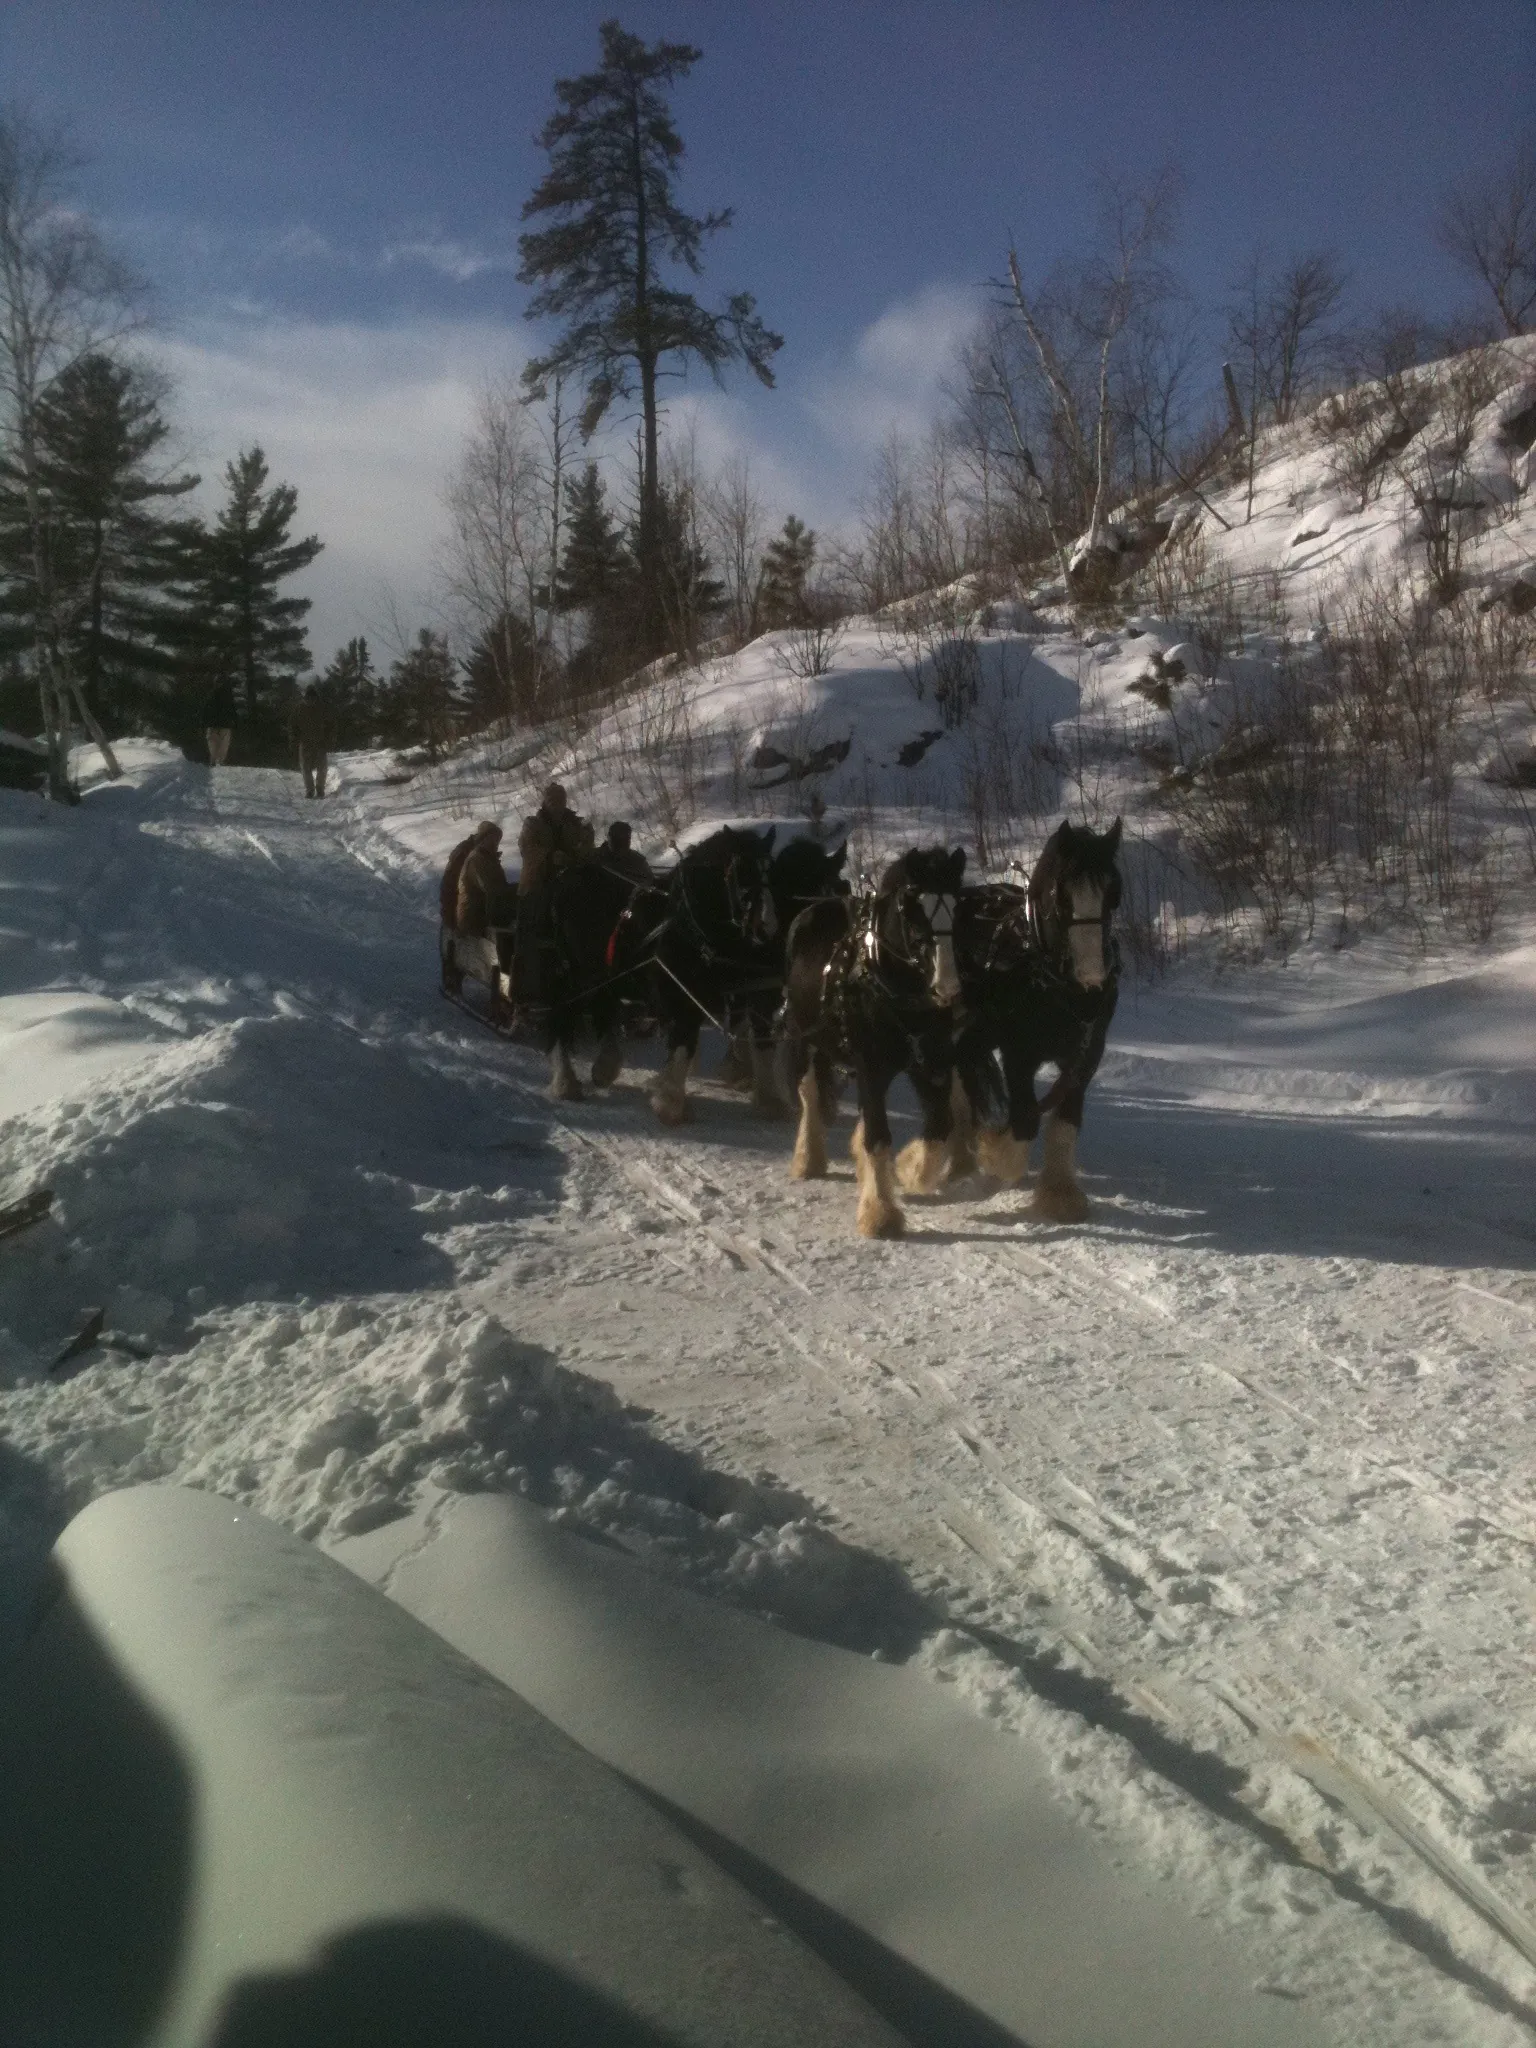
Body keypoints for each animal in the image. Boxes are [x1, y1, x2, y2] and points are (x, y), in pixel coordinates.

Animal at [648, 826, 783, 1125]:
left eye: (771, 871)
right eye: (741, 870)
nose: (766, 927)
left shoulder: (758, 987)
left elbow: (762, 1040)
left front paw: (769, 1100)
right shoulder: (682, 990)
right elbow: (683, 1041)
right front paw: (669, 1102)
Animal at [783, 845, 967, 1238]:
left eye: (956, 908)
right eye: (913, 917)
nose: (947, 989)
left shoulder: (930, 1063)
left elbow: (939, 1128)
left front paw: (909, 1170)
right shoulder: (870, 1065)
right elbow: (878, 1137)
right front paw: (880, 1214)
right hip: (804, 1037)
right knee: (809, 1093)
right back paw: (807, 1158)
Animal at [953, 817, 1123, 1221]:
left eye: (1114, 893)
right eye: (1062, 895)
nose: (1093, 981)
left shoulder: (1085, 1055)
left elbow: (1065, 1121)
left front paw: (1060, 1196)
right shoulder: (1019, 1054)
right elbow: (1026, 1120)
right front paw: (997, 1165)